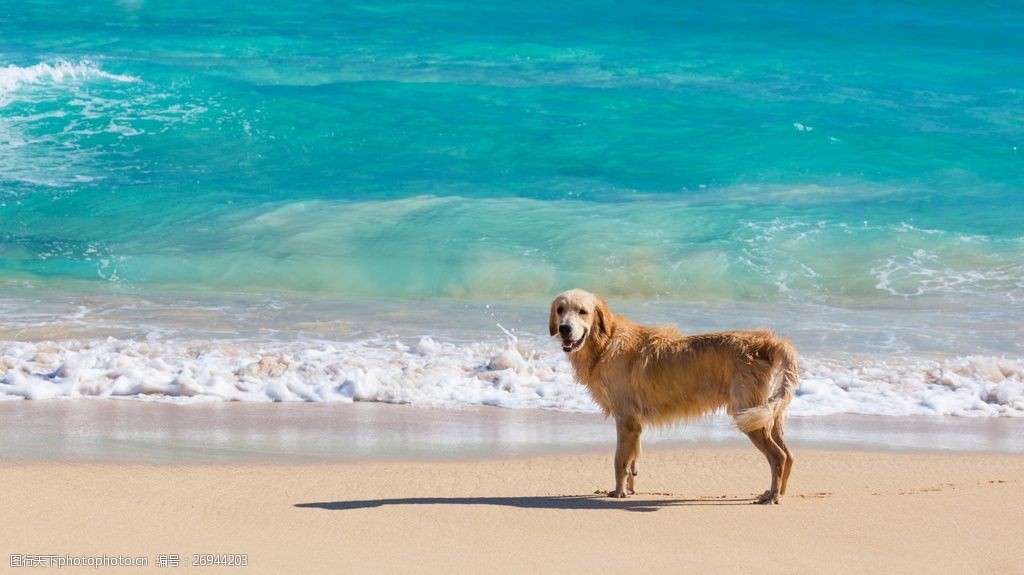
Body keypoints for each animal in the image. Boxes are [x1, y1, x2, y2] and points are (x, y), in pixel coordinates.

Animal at [552, 286, 798, 501]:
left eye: (582, 311)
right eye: (560, 310)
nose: (564, 328)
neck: (606, 342)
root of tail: (766, 341)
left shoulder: (625, 420)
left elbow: (620, 461)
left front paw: (619, 492)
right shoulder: (635, 425)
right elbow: (633, 460)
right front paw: (630, 489)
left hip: (749, 415)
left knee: (778, 456)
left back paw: (772, 496)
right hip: (767, 414)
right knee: (788, 455)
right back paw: (780, 492)